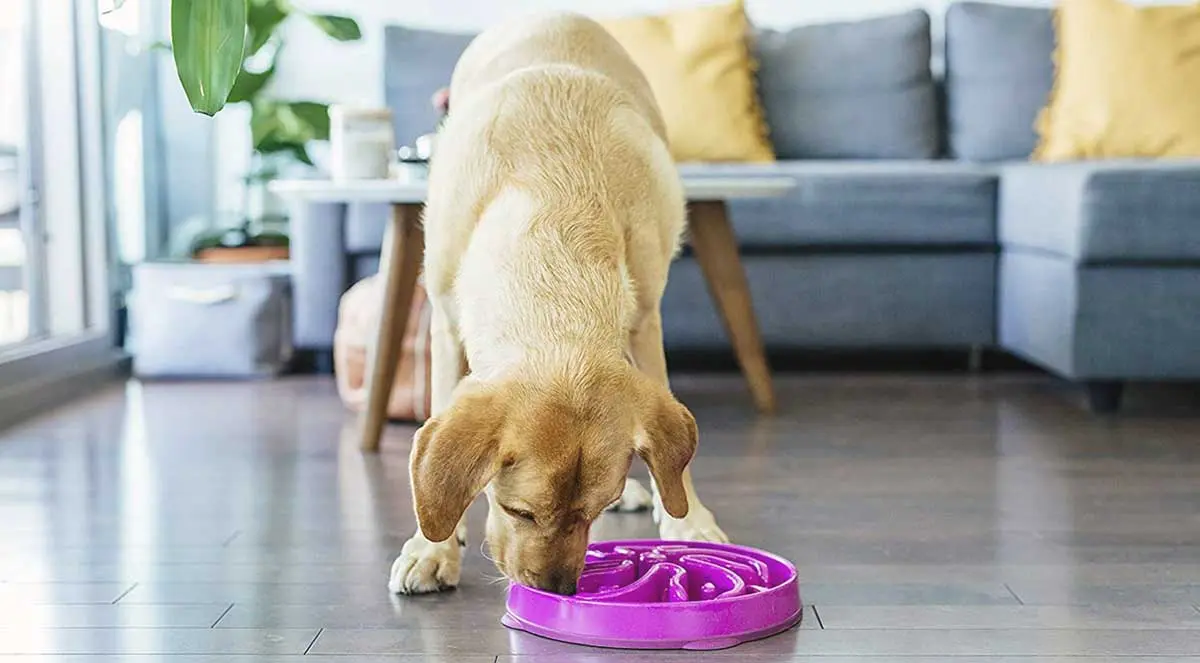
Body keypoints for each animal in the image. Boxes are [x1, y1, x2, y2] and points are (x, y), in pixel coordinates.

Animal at [388, 11, 724, 595]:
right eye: (518, 511)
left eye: (595, 511)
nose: (556, 591)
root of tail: (552, 13)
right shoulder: (446, 325)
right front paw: (432, 548)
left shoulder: (645, 322)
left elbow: (671, 462)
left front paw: (687, 522)